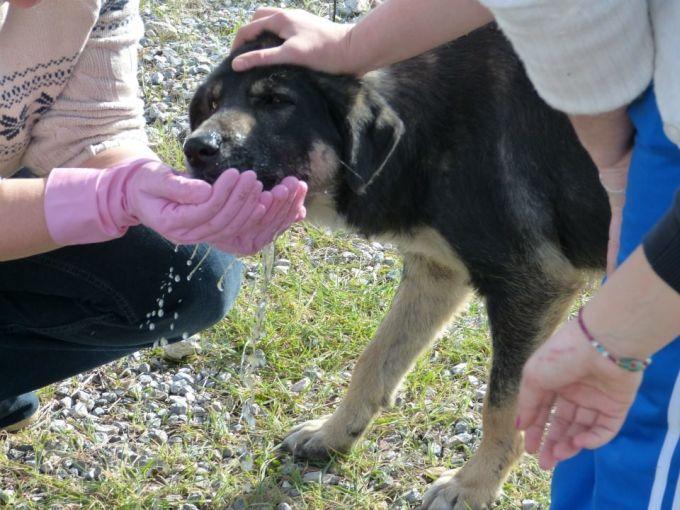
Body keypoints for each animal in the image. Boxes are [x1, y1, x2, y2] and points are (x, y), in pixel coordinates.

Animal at [183, 24, 608, 510]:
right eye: (211, 104)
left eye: (275, 100)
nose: (195, 148)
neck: (430, 130)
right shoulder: (437, 270)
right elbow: (376, 358)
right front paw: (335, 432)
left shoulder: (532, 285)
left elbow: (503, 404)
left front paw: (474, 485)